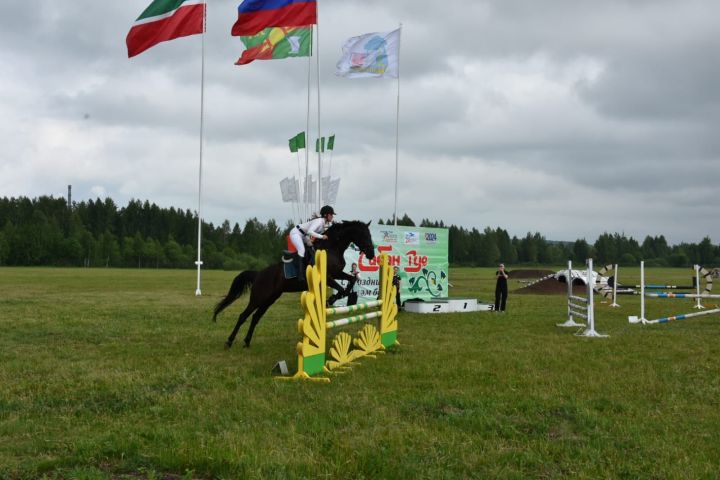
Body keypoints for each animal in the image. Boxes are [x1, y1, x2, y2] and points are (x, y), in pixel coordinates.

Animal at [211, 221, 374, 348]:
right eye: (364, 235)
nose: (371, 254)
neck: (331, 248)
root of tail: (259, 274)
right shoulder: (328, 277)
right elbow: (341, 288)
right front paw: (332, 299)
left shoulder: (337, 274)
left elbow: (351, 280)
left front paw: (338, 298)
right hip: (258, 297)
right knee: (243, 316)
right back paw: (229, 341)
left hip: (270, 298)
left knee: (256, 317)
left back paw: (246, 341)